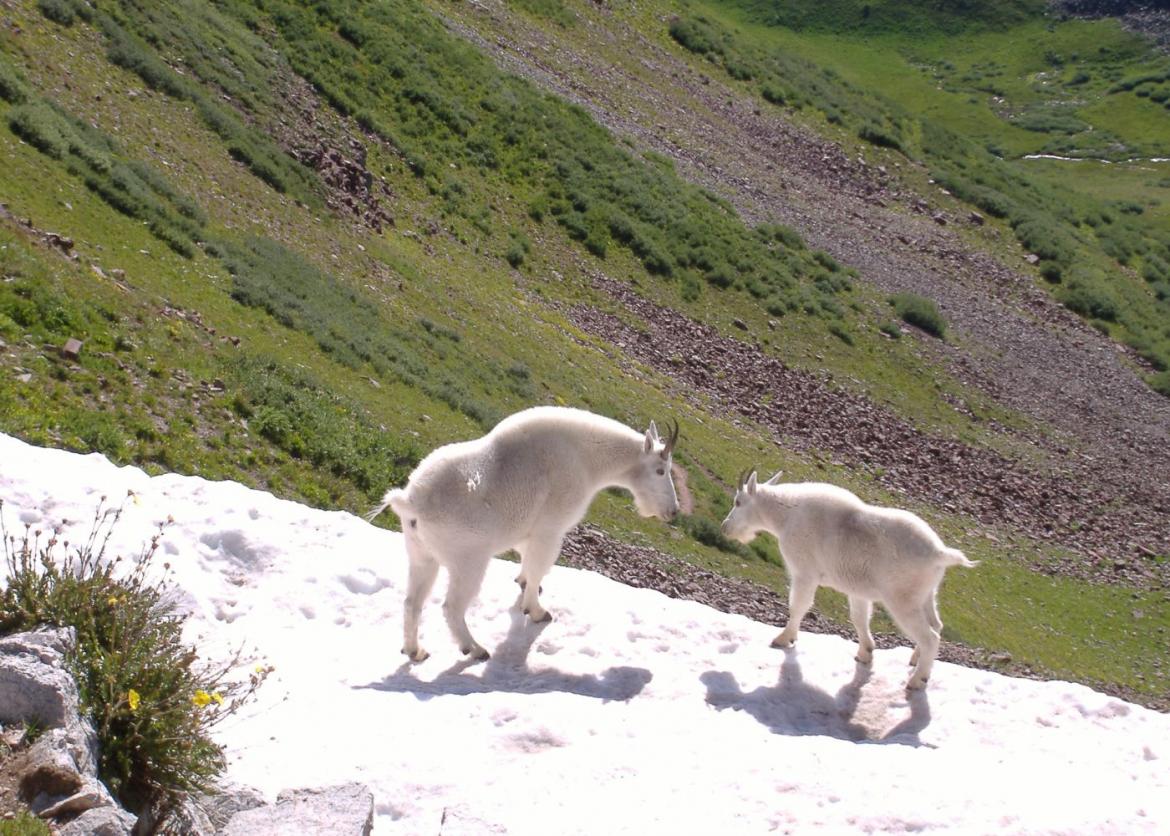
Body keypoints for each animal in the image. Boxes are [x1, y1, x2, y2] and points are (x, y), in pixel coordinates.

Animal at [365, 409, 678, 664]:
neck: (586, 459)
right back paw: (475, 649)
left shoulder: (526, 532)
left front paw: (524, 584)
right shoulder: (550, 529)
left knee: (412, 602)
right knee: (451, 607)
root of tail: (411, 500)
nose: (672, 511)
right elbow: (539, 568)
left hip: (421, 554)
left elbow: (527, 563)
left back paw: (415, 651)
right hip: (468, 560)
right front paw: (536, 611)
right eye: (660, 470)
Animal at [720, 470, 978, 692]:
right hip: (927, 594)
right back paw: (916, 660)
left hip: (902, 599)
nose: (725, 527)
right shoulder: (858, 590)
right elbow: (859, 618)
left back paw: (917, 680)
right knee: (937, 624)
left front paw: (784, 639)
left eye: (738, 502)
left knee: (930, 636)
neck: (785, 515)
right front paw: (865, 654)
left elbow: (798, 605)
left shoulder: (805, 572)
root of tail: (939, 553)